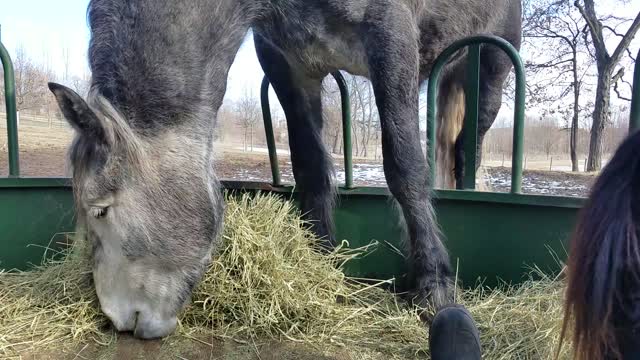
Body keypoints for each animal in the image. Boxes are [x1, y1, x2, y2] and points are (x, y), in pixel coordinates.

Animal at [48, 0, 520, 338]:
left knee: (466, 150)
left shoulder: (392, 37)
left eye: (101, 210)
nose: (117, 320)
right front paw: (321, 260)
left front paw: (434, 286)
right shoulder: (289, 64)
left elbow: (404, 165)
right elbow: (310, 165)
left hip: (489, 64)